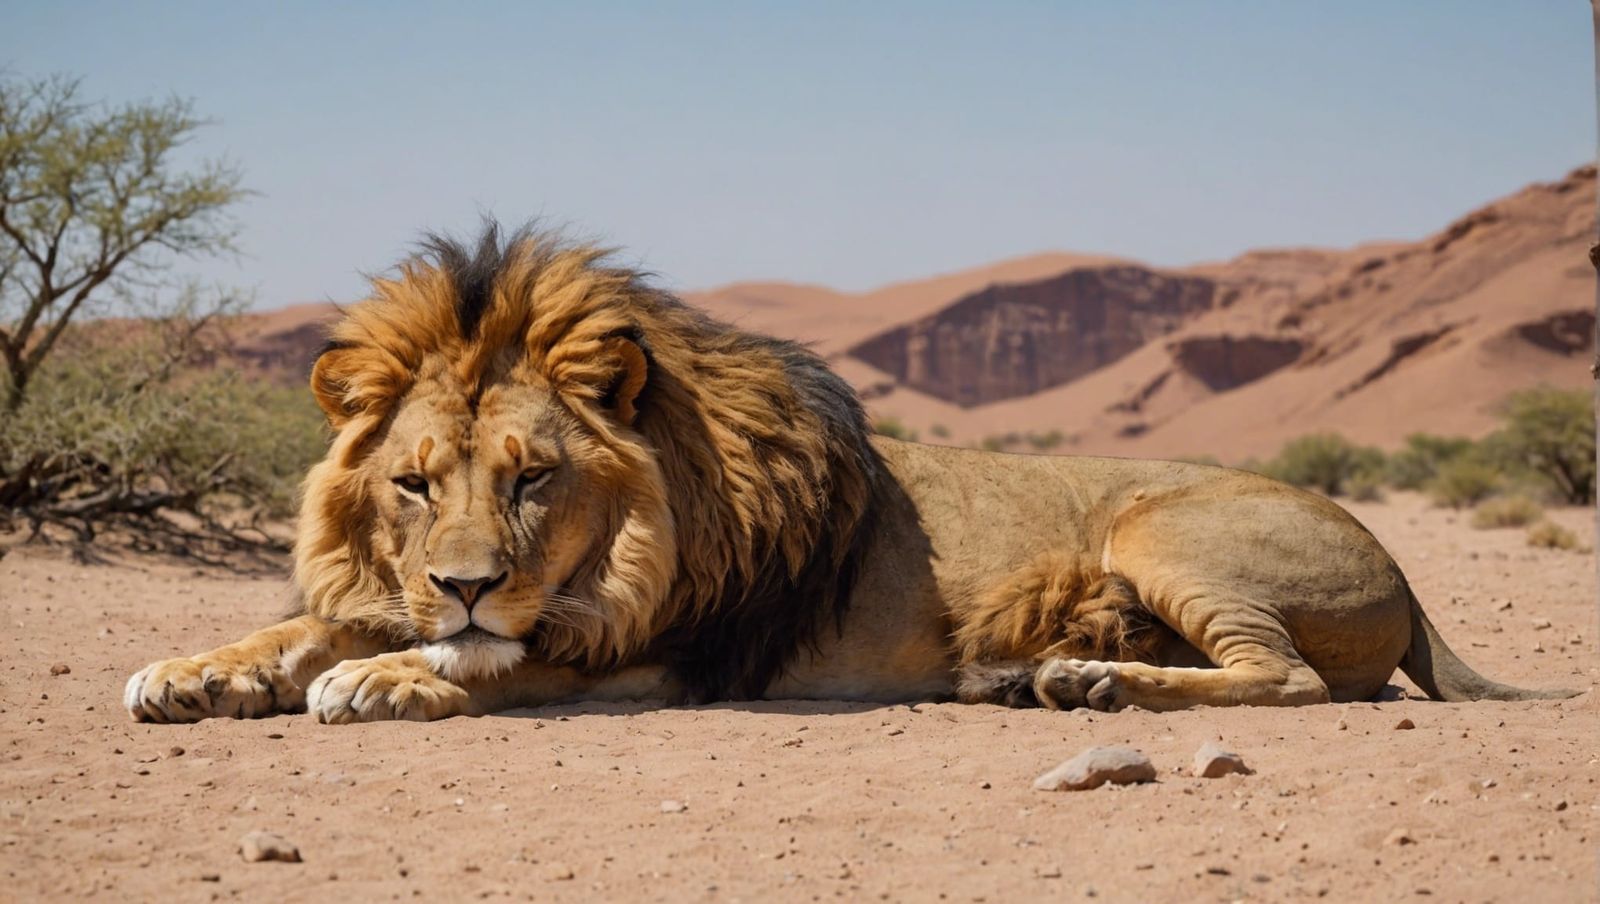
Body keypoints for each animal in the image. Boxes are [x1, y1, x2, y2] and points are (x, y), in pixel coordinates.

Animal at [124, 225, 1580, 724]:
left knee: (1287, 681)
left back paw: (1091, 685)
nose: (469, 582)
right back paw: (1044, 677)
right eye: (415, 485)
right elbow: (309, 623)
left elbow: (480, 664)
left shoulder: (674, 654)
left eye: (535, 478)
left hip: (1162, 527)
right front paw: (196, 670)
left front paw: (385, 678)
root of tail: (1402, 563)